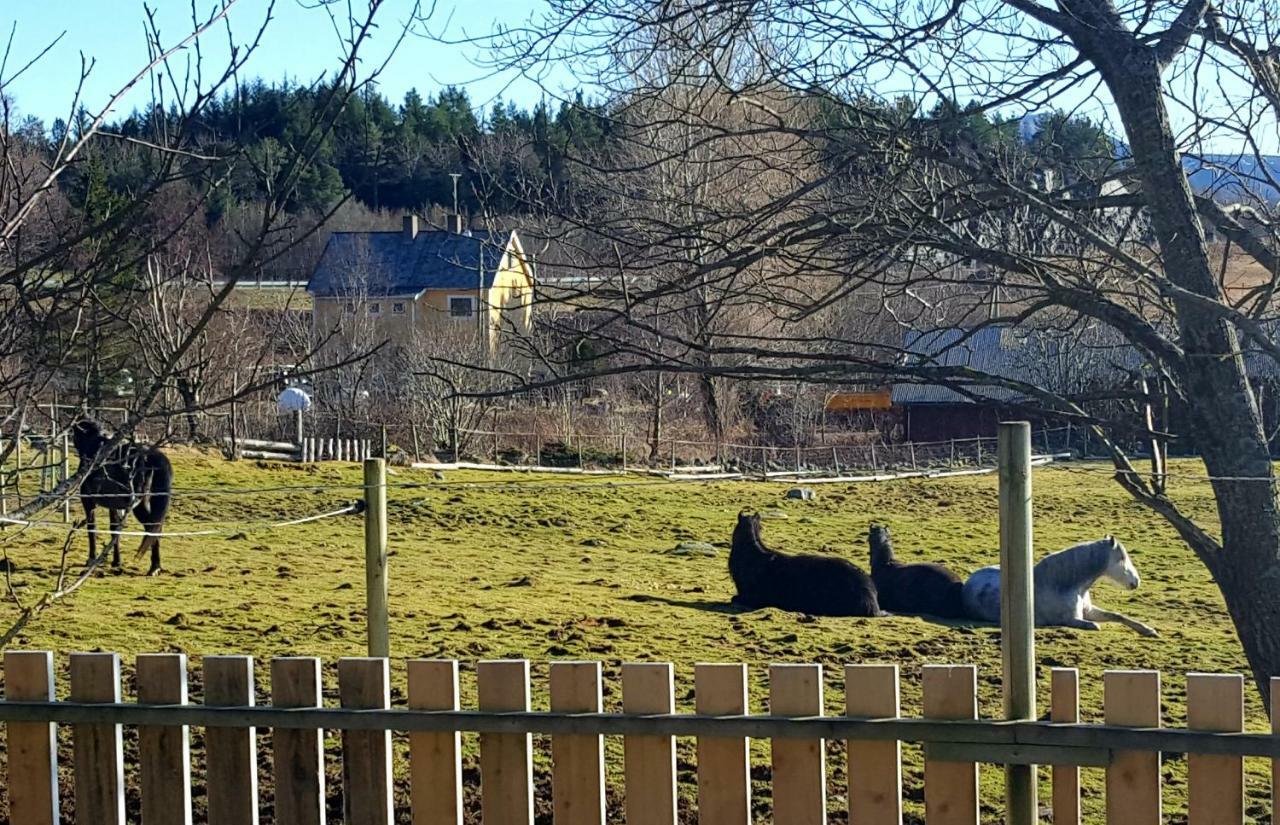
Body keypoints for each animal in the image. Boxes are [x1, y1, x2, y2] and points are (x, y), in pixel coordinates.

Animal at [71, 419, 172, 573]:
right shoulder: (114, 505)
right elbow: (115, 530)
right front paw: (116, 561)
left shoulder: (89, 502)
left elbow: (92, 528)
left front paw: (91, 559)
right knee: (156, 528)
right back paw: (156, 566)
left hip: (138, 504)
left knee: (151, 527)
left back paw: (154, 567)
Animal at [962, 534, 1162, 636]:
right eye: (1121, 558)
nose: (1136, 581)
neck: (1067, 585)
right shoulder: (1071, 620)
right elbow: (1094, 626)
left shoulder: (1088, 611)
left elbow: (1118, 616)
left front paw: (1148, 630)